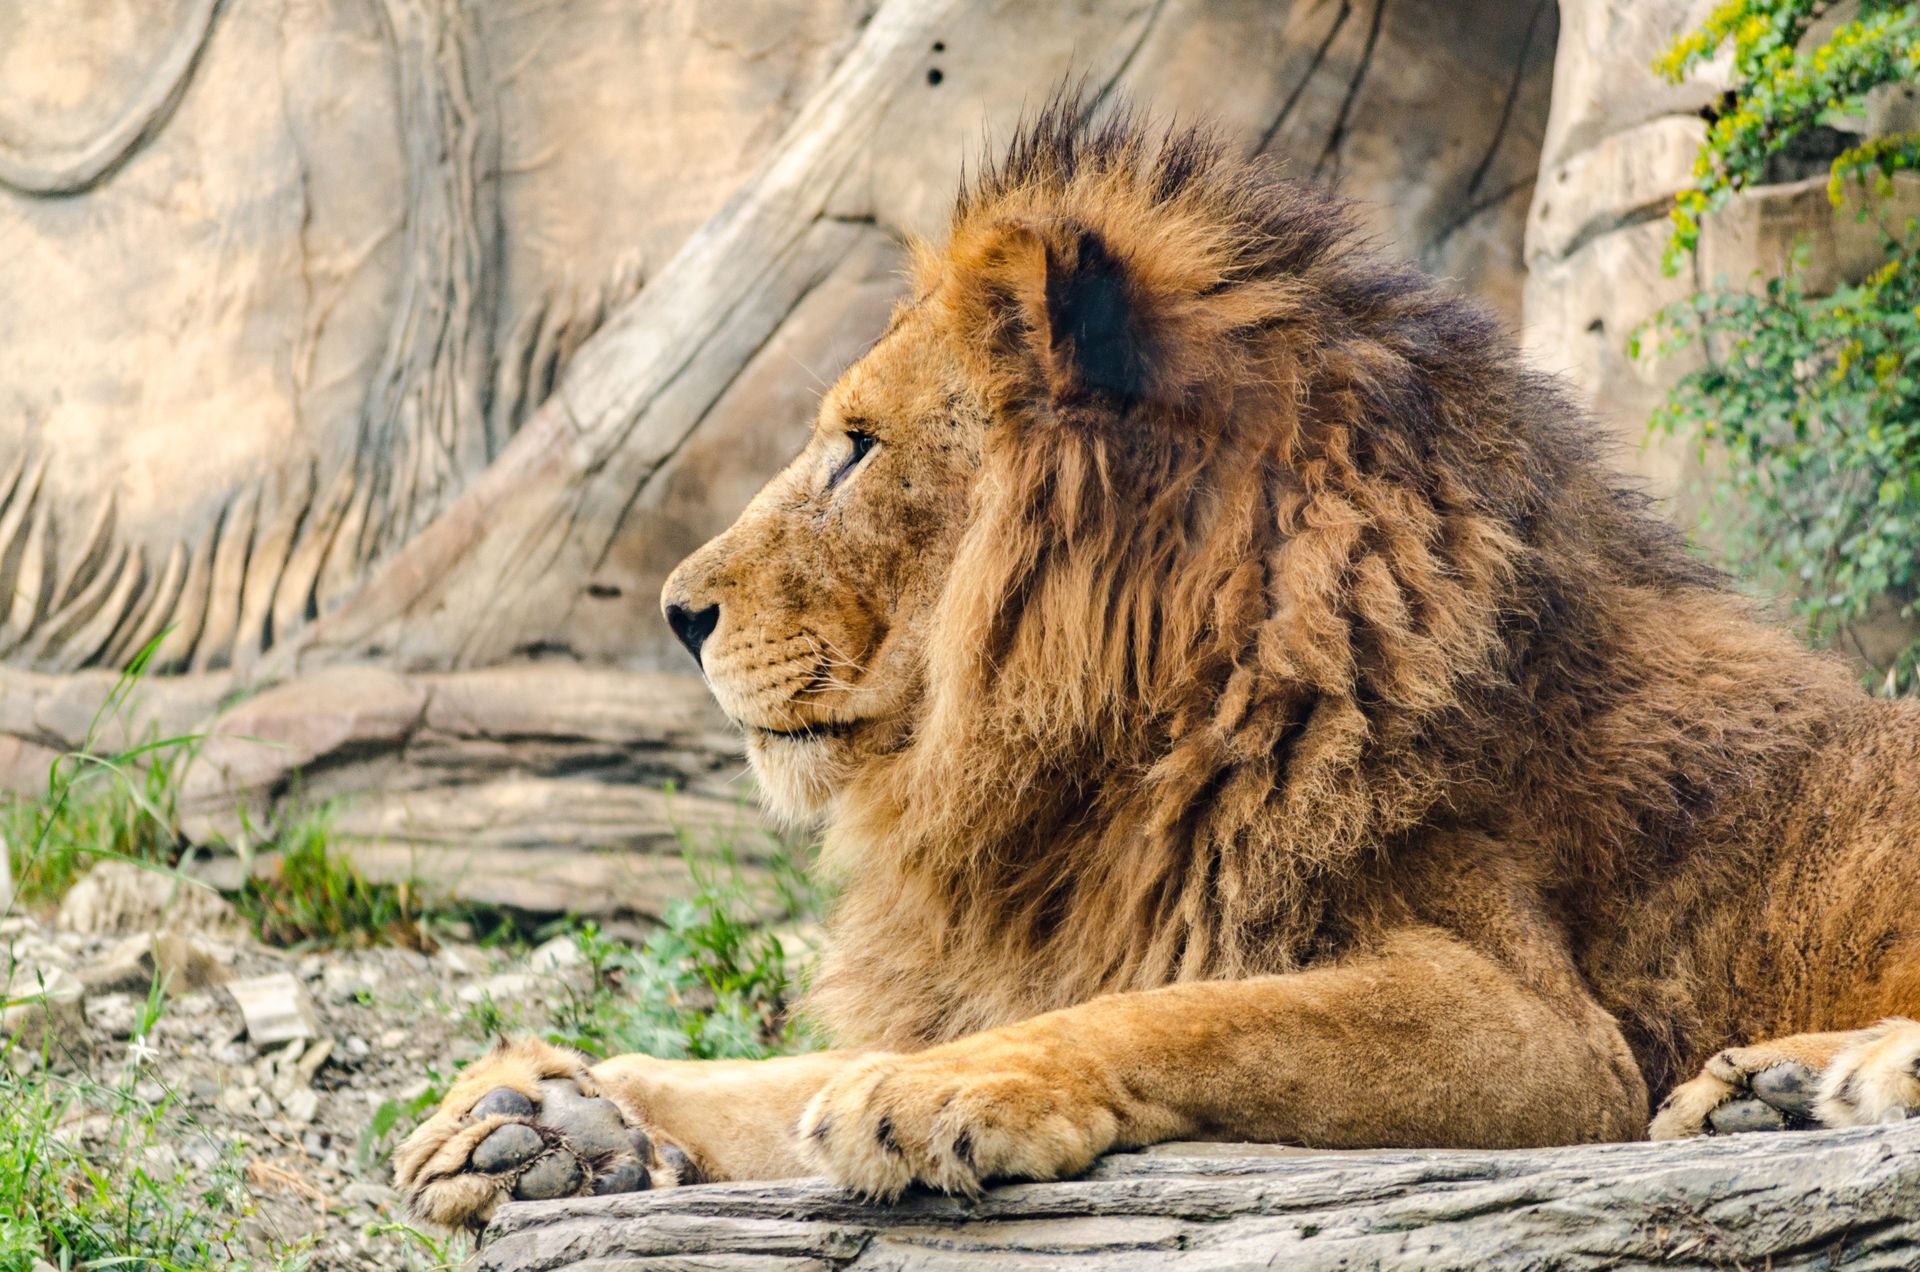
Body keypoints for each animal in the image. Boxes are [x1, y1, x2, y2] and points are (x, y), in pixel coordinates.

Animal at [394, 98, 1920, 1227]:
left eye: (858, 446)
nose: (674, 610)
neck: (1092, 767)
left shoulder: (1549, 1035)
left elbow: (1185, 1014)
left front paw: (944, 1091)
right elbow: (782, 1077)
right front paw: (546, 1116)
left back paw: (1827, 1081)